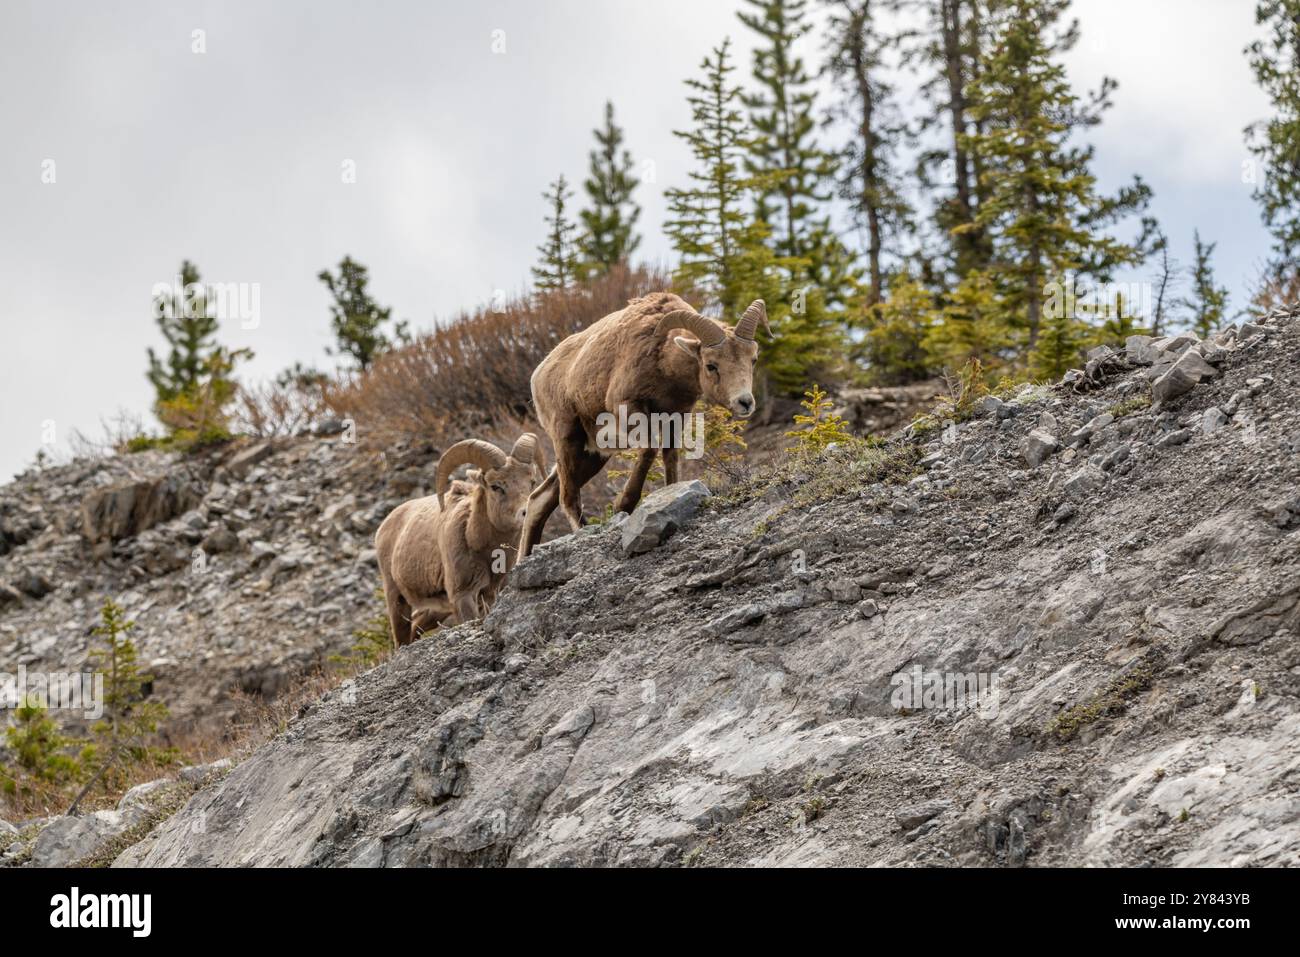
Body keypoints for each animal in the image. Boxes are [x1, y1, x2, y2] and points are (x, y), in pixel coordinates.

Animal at [377, 434, 543, 647]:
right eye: (496, 486)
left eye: (531, 482)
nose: (525, 511)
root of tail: (384, 526)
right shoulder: (463, 595)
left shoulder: (489, 594)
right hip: (397, 599)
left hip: (436, 610)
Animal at [512, 295, 764, 556]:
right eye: (711, 365)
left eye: (753, 359)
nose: (745, 402)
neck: (664, 362)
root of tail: (539, 374)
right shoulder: (629, 408)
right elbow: (649, 450)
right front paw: (623, 505)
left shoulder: (676, 417)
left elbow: (670, 459)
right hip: (567, 438)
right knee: (567, 498)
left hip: (592, 455)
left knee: (540, 500)